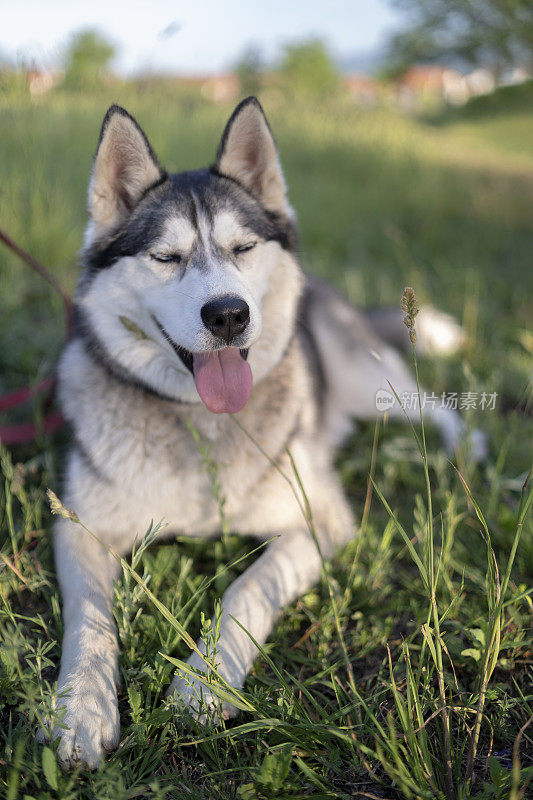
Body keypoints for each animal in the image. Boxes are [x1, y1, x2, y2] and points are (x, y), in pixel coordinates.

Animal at [40, 100, 482, 768]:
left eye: (243, 247)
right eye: (165, 258)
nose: (228, 314)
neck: (202, 420)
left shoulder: (321, 523)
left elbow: (247, 588)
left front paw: (202, 682)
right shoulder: (79, 526)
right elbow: (89, 619)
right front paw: (80, 709)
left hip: (377, 389)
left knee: (437, 409)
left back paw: (464, 452)